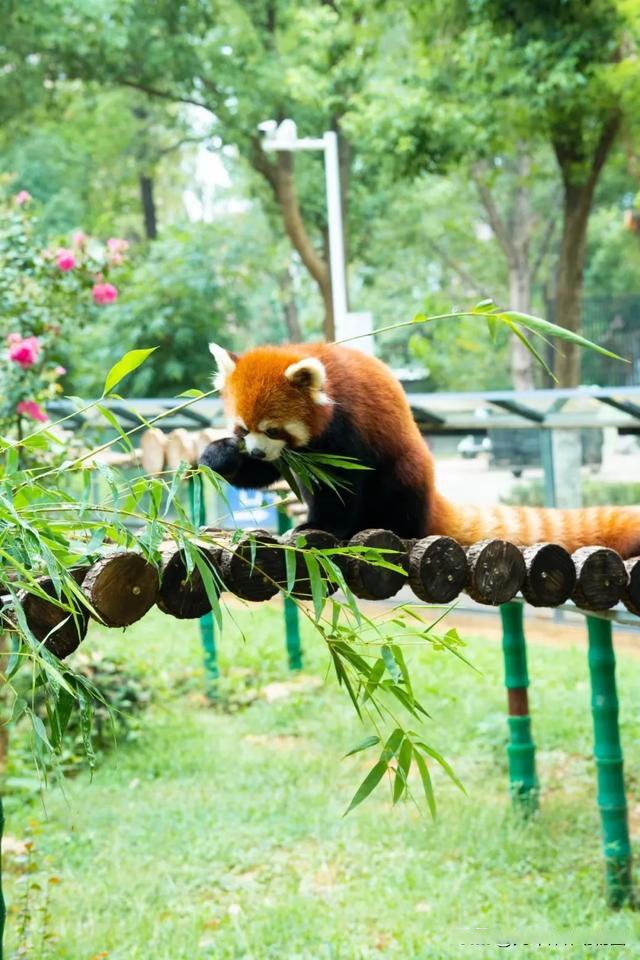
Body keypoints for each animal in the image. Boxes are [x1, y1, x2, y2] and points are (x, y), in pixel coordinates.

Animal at [198, 344, 640, 556]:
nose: (255, 452)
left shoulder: (346, 431)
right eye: (242, 429)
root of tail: (430, 502)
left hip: (407, 472)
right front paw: (218, 457)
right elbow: (267, 474)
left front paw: (319, 526)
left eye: (274, 429)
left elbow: (343, 486)